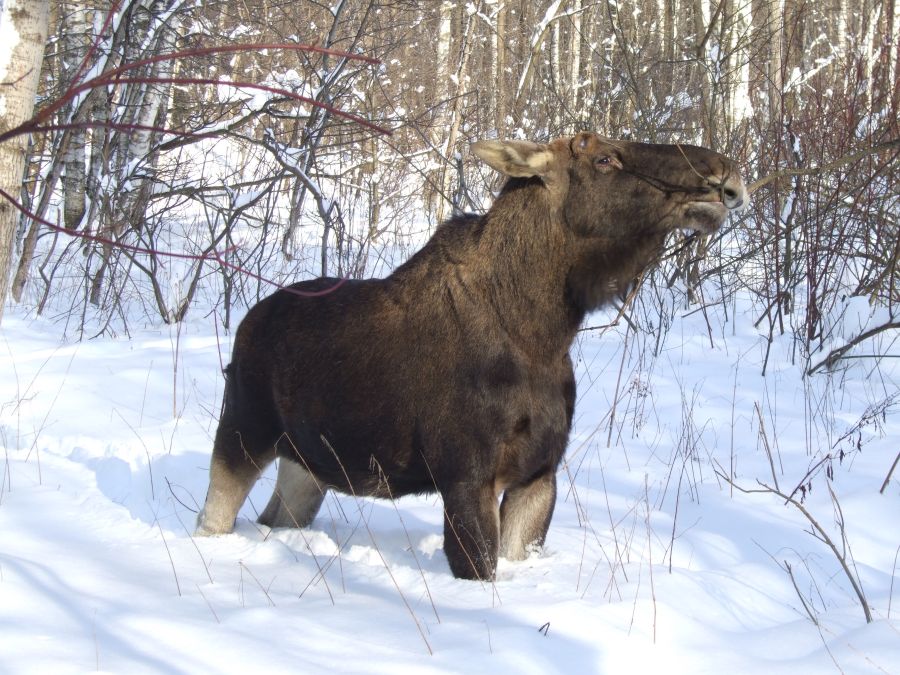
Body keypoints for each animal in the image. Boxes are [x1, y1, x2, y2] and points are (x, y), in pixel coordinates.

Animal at [199, 131, 744, 580]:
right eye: (604, 157)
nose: (725, 173)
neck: (543, 334)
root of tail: (246, 322)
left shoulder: (539, 475)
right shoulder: (466, 475)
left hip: (307, 466)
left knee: (274, 517)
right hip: (242, 434)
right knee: (212, 517)